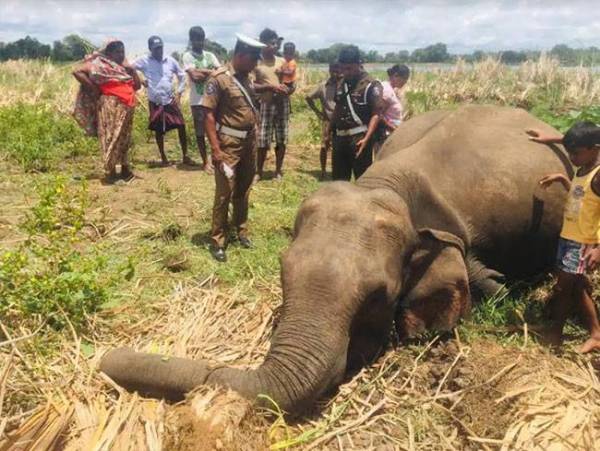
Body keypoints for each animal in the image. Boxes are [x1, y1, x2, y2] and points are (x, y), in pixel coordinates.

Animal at [101, 105, 568, 414]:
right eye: (282, 272)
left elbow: (480, 276)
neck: (385, 184)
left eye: (379, 296)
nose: (106, 358)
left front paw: (495, 285)